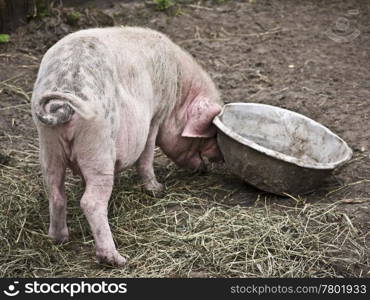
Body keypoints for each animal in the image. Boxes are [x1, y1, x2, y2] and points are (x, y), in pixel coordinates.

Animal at [31, 25, 223, 264]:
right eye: (208, 135)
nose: (211, 165)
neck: (178, 92)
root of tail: (64, 100)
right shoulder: (155, 116)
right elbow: (147, 154)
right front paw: (158, 189)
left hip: (48, 145)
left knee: (55, 192)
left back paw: (59, 239)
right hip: (99, 144)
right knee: (91, 202)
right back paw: (117, 260)